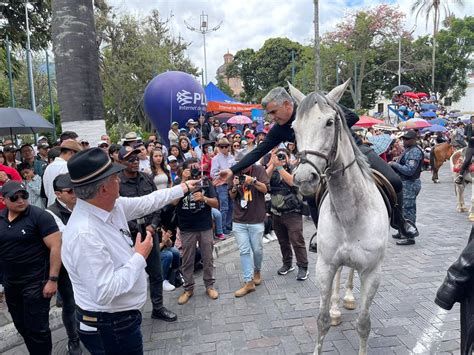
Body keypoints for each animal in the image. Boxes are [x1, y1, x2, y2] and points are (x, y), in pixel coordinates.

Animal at [292, 81, 388, 355]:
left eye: (329, 122)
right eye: (294, 127)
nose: (304, 178)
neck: (350, 213)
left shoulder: (372, 273)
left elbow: (364, 325)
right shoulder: (324, 266)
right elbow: (321, 320)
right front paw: (329, 314)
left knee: (350, 272)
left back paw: (347, 297)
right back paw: (336, 306)